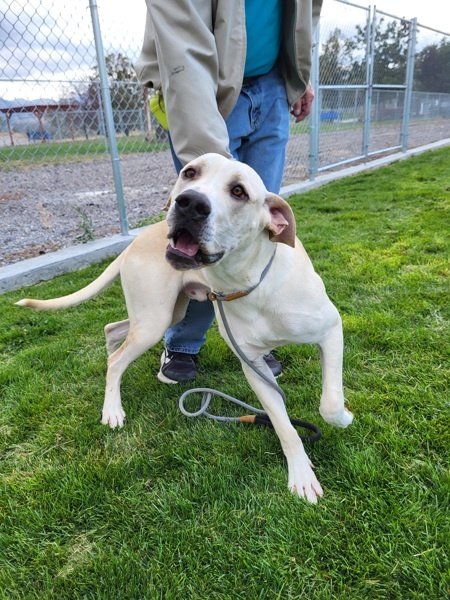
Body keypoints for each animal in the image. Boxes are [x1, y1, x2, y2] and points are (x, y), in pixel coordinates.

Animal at [17, 154, 354, 502]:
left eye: (239, 191)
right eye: (190, 172)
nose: (190, 203)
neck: (252, 282)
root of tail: (136, 240)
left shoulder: (330, 330)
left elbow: (329, 403)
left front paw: (341, 418)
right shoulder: (253, 366)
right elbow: (286, 427)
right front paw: (302, 473)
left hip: (165, 314)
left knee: (113, 330)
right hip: (154, 320)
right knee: (117, 359)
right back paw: (112, 408)